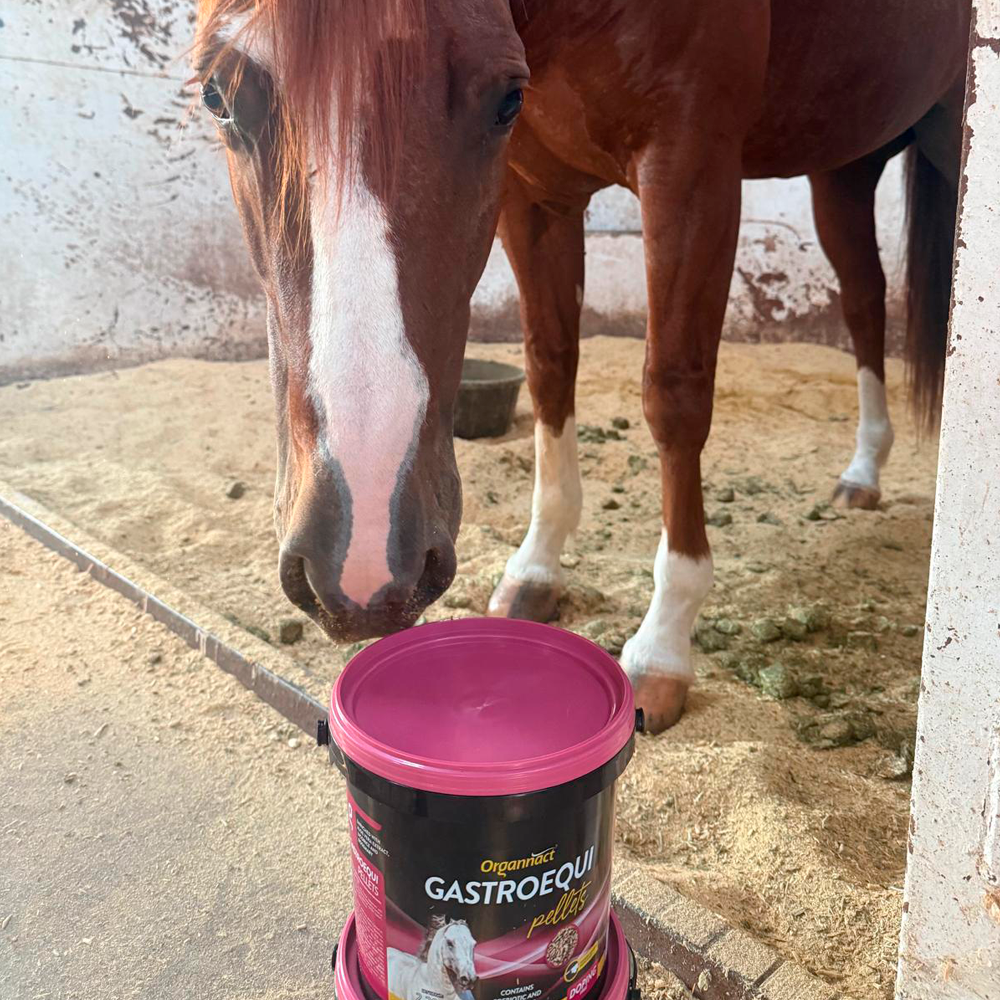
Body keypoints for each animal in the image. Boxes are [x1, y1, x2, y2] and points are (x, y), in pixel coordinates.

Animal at [192, 0, 969, 732]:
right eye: (216, 96)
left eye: (507, 98)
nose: (361, 564)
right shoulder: (532, 196)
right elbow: (550, 366)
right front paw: (536, 566)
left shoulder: (691, 172)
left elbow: (674, 393)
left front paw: (663, 642)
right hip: (846, 163)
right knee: (865, 301)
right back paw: (862, 472)